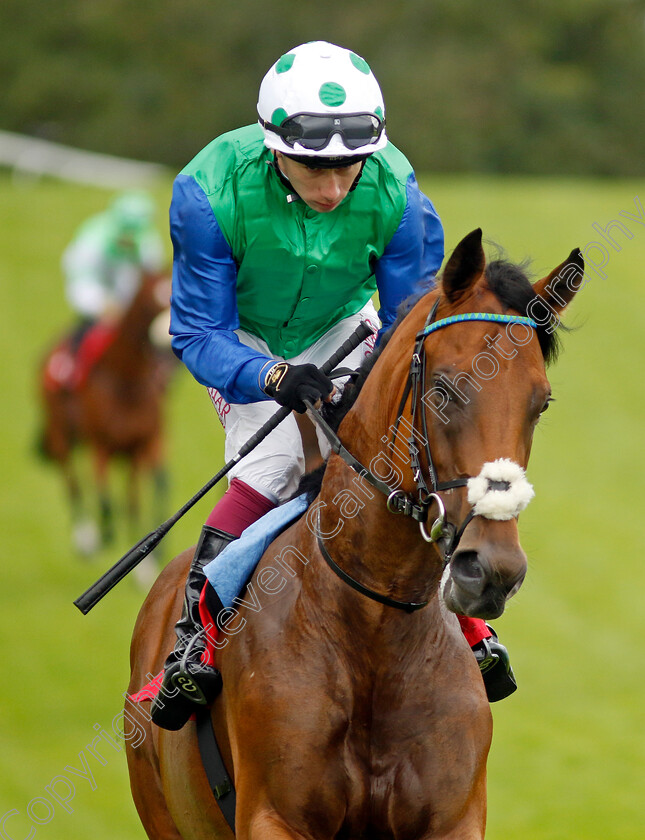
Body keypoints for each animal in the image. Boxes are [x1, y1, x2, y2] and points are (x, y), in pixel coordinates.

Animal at [38, 272, 175, 560]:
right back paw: (85, 538)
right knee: (74, 485)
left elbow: (144, 497)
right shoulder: (101, 446)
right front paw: (102, 537)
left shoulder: (144, 444)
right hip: (59, 434)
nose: (163, 345)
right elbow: (105, 501)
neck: (126, 384)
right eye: (149, 302)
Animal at [123, 231, 580, 840]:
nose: (493, 571)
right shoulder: (274, 816)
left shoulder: (454, 818)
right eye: (443, 389)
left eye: (541, 402)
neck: (374, 631)